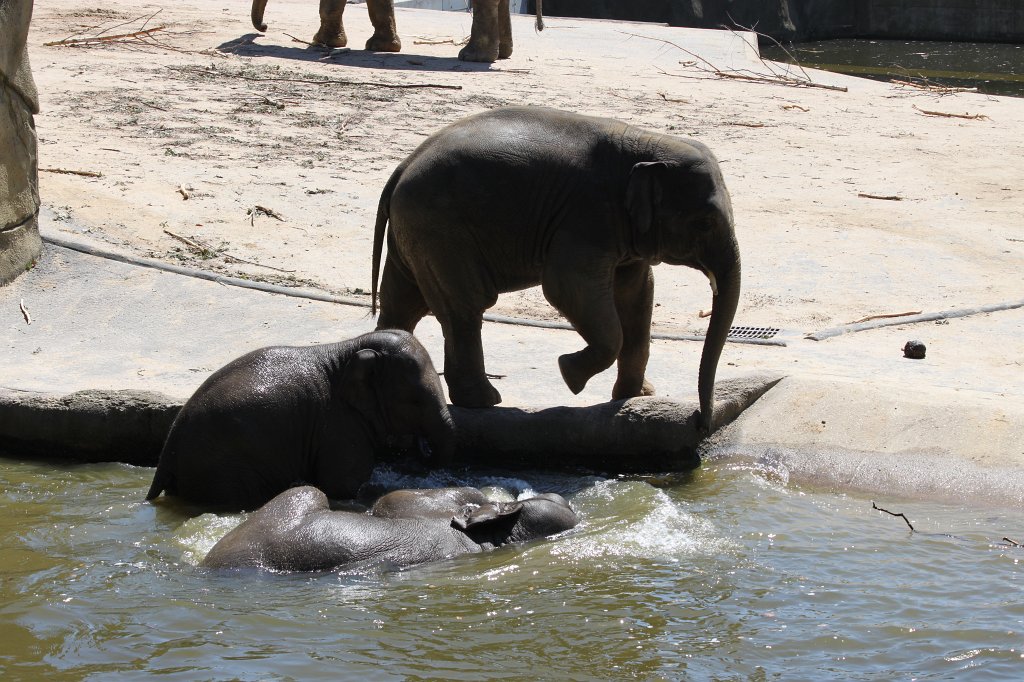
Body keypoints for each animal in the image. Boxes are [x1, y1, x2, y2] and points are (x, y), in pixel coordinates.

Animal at [146, 330, 455, 511]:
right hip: (222, 468)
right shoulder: (339, 424)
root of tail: (169, 447)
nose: (422, 449)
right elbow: (343, 485)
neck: (350, 347)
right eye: (415, 401)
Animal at [370, 106, 741, 431]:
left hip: (416, 232)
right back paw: (484, 401)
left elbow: (636, 293)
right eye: (705, 222)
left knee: (402, 302)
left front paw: (636, 396)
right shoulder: (586, 216)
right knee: (464, 308)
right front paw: (569, 375)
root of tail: (403, 165)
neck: (646, 142)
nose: (702, 423)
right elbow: (567, 287)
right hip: (440, 230)